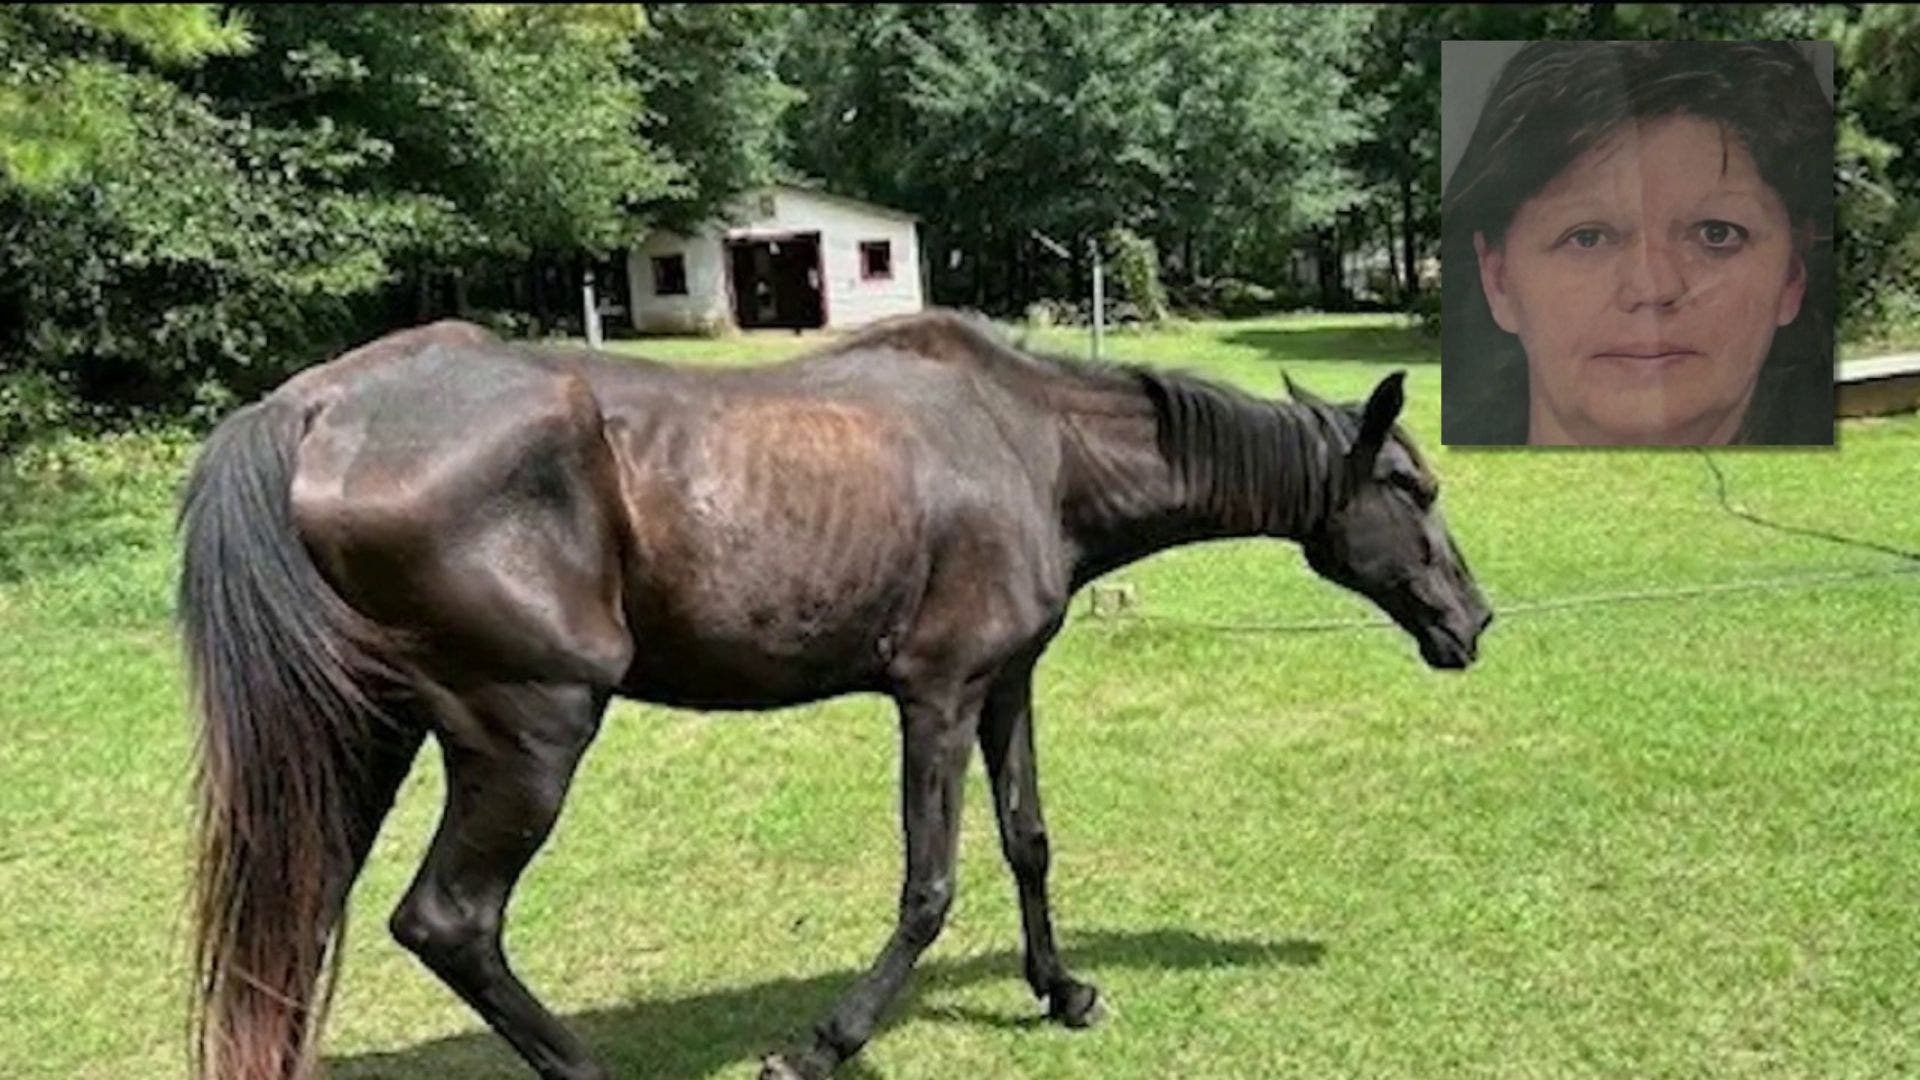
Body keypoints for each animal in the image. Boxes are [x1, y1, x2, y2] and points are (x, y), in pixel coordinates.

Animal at [177, 309, 1493, 1080]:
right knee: (448, 923)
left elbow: (1028, 843)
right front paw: (828, 1042)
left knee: (293, 931)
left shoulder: (1007, 683)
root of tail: (316, 408)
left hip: (362, 744)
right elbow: (930, 885)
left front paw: (1063, 990)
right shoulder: (939, 697)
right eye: (1413, 489)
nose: (1471, 622)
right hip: (527, 737)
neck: (1032, 448)